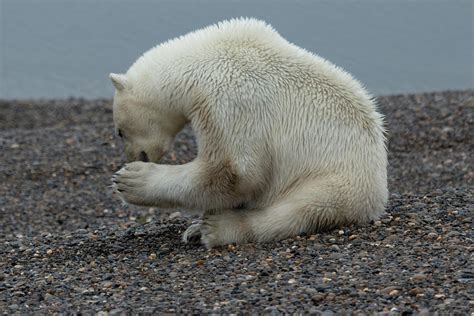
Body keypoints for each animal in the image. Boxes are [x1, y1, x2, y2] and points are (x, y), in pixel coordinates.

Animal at [109, 17, 386, 249]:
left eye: (120, 132)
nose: (135, 156)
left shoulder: (229, 99)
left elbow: (233, 172)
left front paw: (131, 180)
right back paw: (197, 228)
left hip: (335, 179)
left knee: (299, 209)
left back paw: (218, 228)